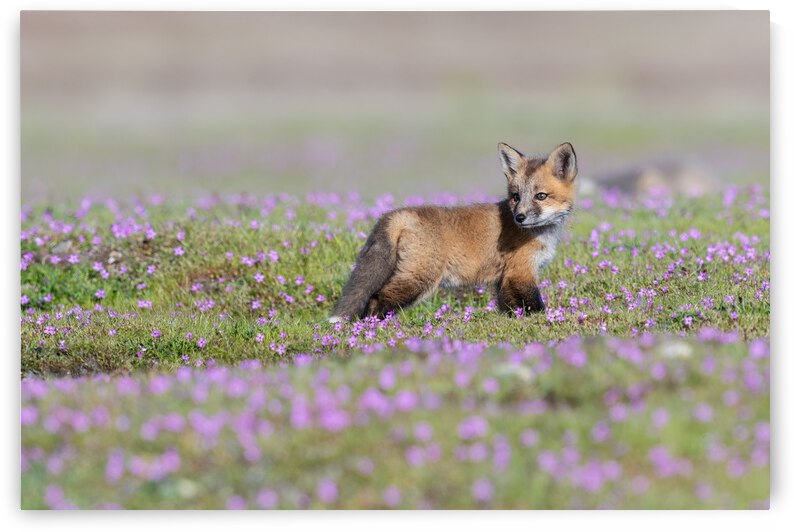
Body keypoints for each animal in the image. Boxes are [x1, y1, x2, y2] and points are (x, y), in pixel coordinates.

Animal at [329, 142, 577, 322]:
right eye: (516, 197)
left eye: (541, 196)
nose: (520, 217)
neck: (541, 234)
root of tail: (399, 213)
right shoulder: (521, 271)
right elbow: (535, 305)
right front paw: (544, 319)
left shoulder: (505, 277)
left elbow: (508, 307)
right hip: (419, 278)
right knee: (377, 298)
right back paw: (375, 327)